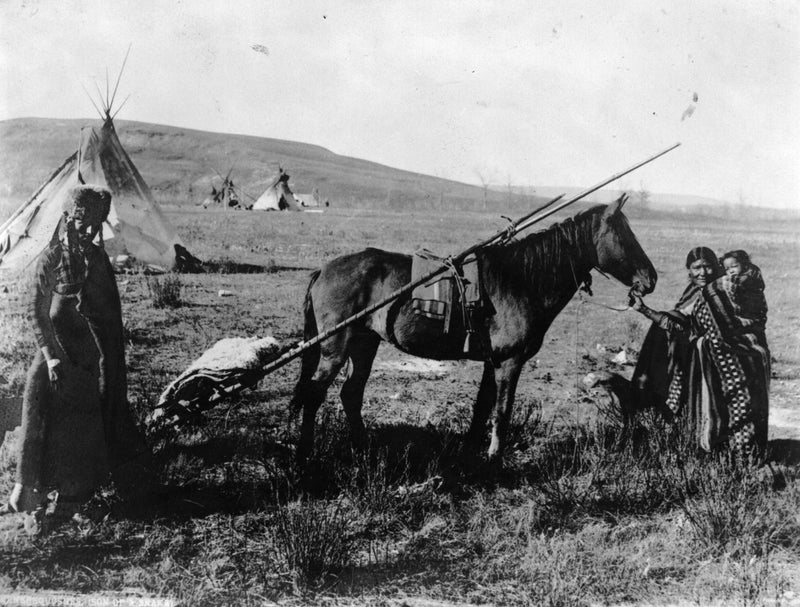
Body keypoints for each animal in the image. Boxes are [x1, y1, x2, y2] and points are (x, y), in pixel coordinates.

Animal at [292, 197, 656, 464]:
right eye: (624, 236)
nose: (650, 279)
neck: (522, 281)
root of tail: (323, 269)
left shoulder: (492, 362)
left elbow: (482, 409)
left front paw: (470, 454)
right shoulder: (509, 362)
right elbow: (502, 411)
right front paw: (495, 459)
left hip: (364, 345)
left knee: (350, 394)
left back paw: (362, 448)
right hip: (335, 348)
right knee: (314, 393)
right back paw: (305, 454)